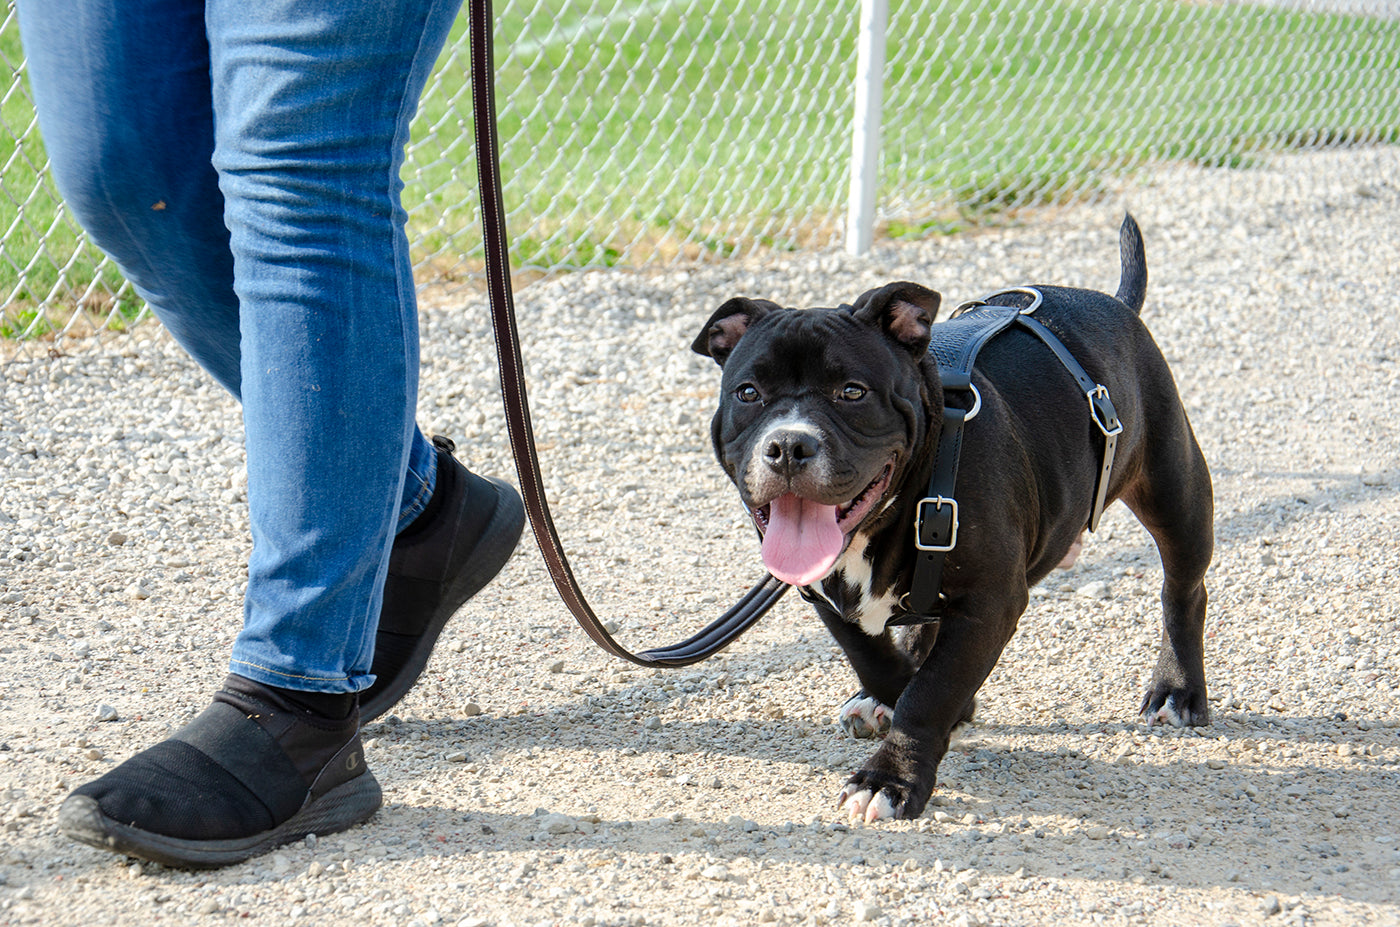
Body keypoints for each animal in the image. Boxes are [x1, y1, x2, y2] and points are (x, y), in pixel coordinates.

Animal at [694, 219, 1209, 828]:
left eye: (852, 392)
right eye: (749, 393)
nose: (789, 445)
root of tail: (1115, 304)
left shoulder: (991, 601)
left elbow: (930, 693)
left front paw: (891, 777)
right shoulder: (825, 591)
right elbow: (876, 659)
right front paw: (903, 700)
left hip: (1177, 494)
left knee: (1183, 590)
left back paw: (1178, 691)